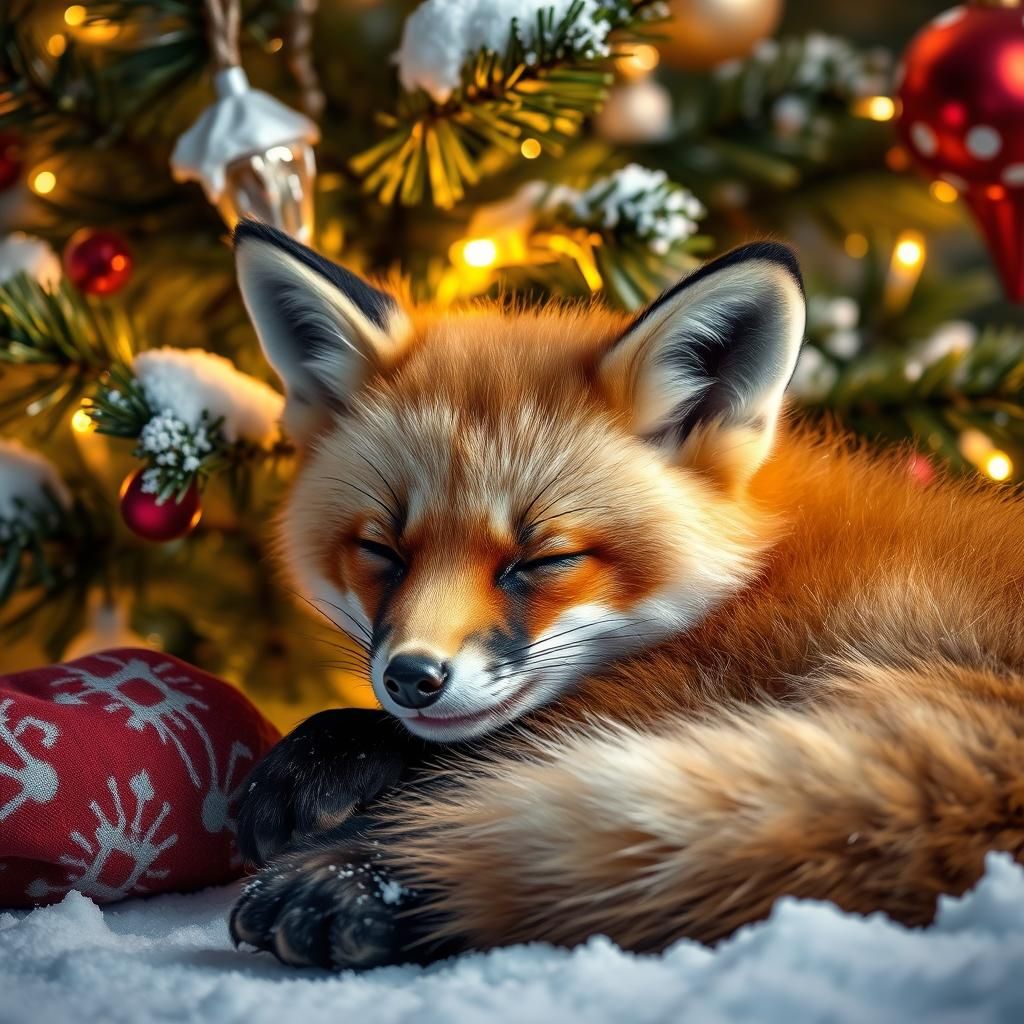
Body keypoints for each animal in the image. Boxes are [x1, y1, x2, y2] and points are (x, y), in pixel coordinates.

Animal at [227, 219, 1024, 971]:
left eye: (545, 559)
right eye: (382, 551)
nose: (411, 679)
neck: (765, 563)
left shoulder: (719, 666)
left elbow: (485, 749)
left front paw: (336, 795)